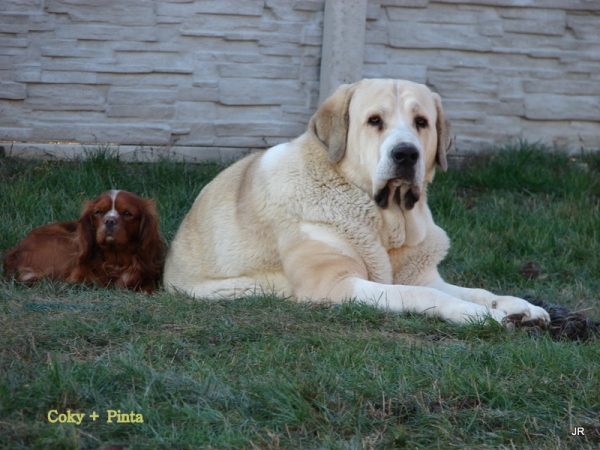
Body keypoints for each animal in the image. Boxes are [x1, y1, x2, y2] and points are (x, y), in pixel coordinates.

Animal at [163, 78, 548, 326]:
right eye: (374, 121)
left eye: (421, 122)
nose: (405, 154)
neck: (386, 219)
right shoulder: (334, 283)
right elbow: (418, 295)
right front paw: (477, 315)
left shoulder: (423, 275)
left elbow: (475, 290)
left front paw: (515, 305)